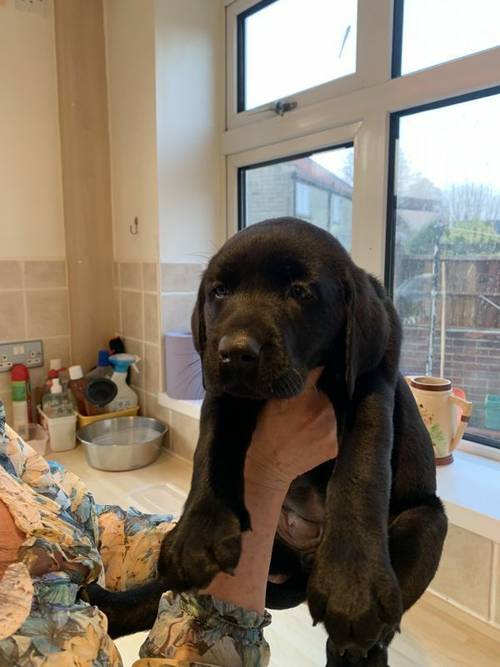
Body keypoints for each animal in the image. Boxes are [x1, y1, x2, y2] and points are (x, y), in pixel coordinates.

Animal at [84, 217, 448, 664]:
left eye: (300, 292)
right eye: (219, 291)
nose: (236, 352)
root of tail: (305, 563)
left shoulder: (370, 384)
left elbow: (361, 468)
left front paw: (352, 584)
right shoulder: (223, 393)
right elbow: (211, 450)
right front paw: (199, 531)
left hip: (426, 522)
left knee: (372, 635)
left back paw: (354, 644)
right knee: (164, 593)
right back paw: (111, 606)